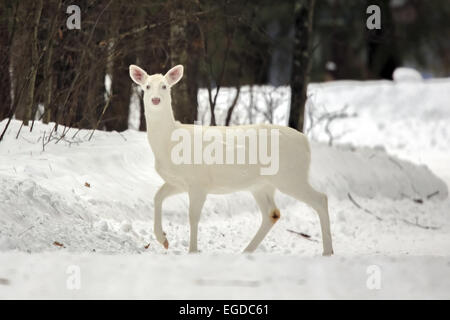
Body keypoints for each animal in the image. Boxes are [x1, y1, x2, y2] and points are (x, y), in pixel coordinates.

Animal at [128, 64, 332, 255]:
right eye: (147, 86)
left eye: (164, 86)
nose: (155, 99)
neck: (168, 142)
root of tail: (306, 142)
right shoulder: (178, 181)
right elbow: (157, 196)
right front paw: (163, 239)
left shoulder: (199, 181)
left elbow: (193, 216)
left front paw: (192, 250)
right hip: (261, 184)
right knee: (272, 213)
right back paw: (245, 251)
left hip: (290, 176)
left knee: (321, 199)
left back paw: (328, 251)